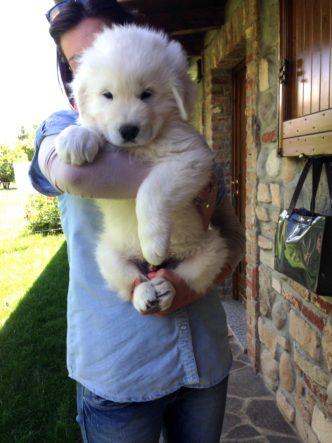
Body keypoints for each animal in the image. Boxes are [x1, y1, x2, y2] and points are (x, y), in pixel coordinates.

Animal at [56, 24, 228, 314]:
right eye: (107, 95)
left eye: (147, 94)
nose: (128, 131)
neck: (146, 145)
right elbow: (91, 126)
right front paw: (75, 137)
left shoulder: (191, 158)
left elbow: (150, 191)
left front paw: (154, 242)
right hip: (107, 253)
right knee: (129, 280)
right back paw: (145, 293)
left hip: (212, 247)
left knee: (187, 276)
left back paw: (165, 287)